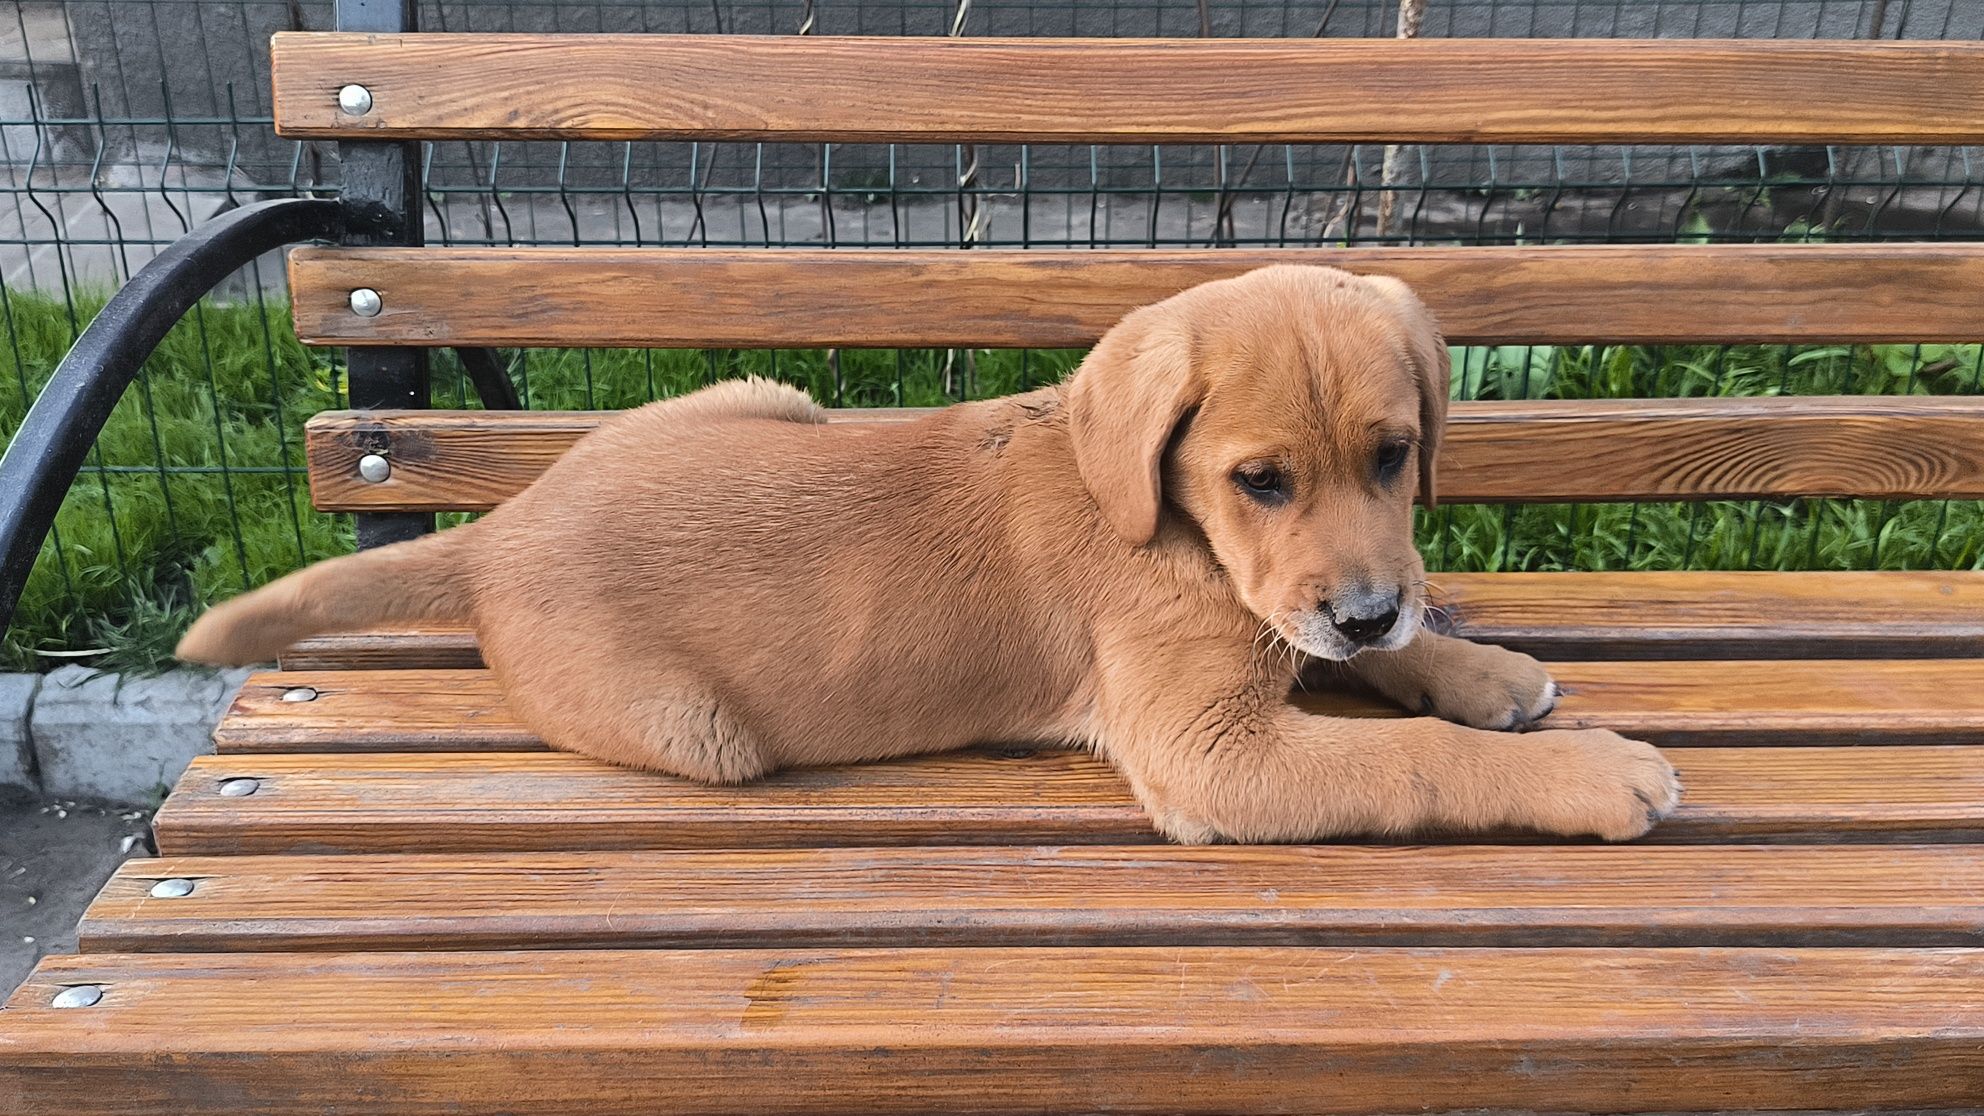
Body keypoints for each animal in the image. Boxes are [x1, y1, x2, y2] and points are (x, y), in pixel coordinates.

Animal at [182, 264, 1674, 837]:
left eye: (1394, 456)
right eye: (1259, 480)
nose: (1366, 608)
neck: (1170, 525)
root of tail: (497, 533)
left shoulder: (1283, 625)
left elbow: (1379, 671)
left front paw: (1477, 670)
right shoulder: (1211, 750)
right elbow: (1413, 759)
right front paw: (1593, 772)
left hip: (766, 398)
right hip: (701, 734)